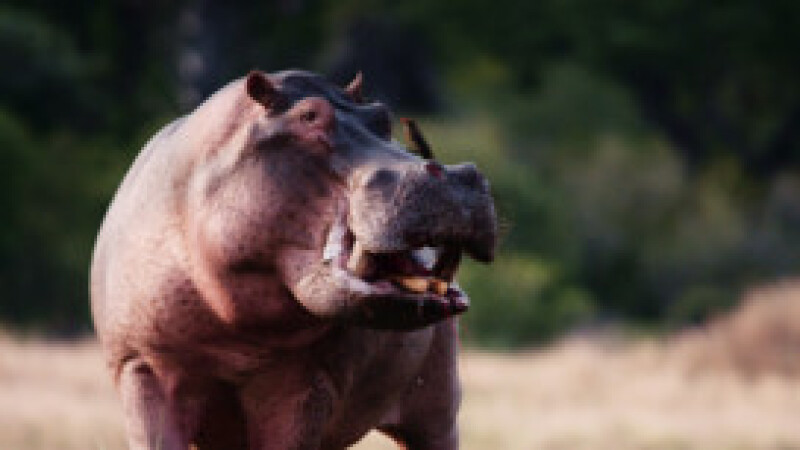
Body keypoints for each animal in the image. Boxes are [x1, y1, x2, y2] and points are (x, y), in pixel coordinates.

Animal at [90, 69, 497, 450]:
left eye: (382, 116)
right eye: (309, 115)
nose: (456, 174)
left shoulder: (305, 384)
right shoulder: (142, 365)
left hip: (438, 408)